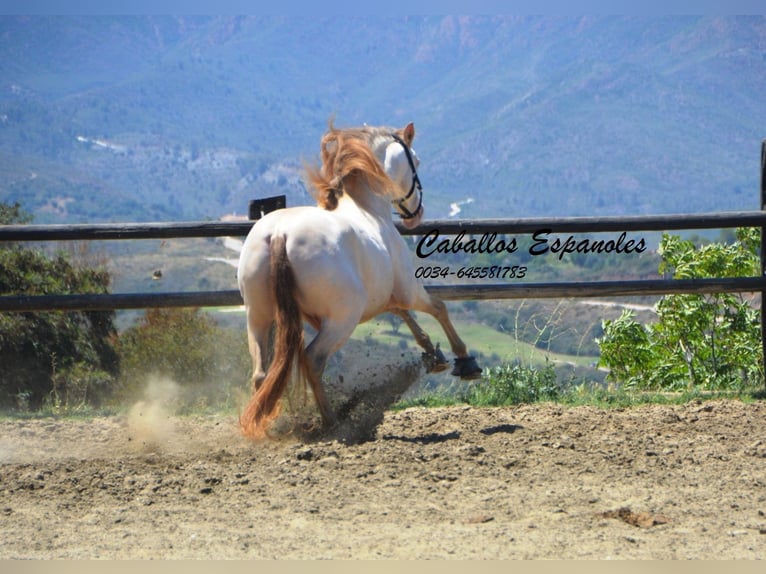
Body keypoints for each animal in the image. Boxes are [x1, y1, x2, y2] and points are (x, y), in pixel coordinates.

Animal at [237, 119, 484, 438]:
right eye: (416, 161)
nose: (416, 215)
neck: (368, 210)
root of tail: (281, 233)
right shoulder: (408, 288)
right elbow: (438, 307)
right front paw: (465, 362)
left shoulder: (384, 296)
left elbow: (404, 315)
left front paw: (433, 354)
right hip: (341, 320)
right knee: (312, 360)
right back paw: (332, 423)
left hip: (259, 317)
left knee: (262, 373)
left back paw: (272, 424)